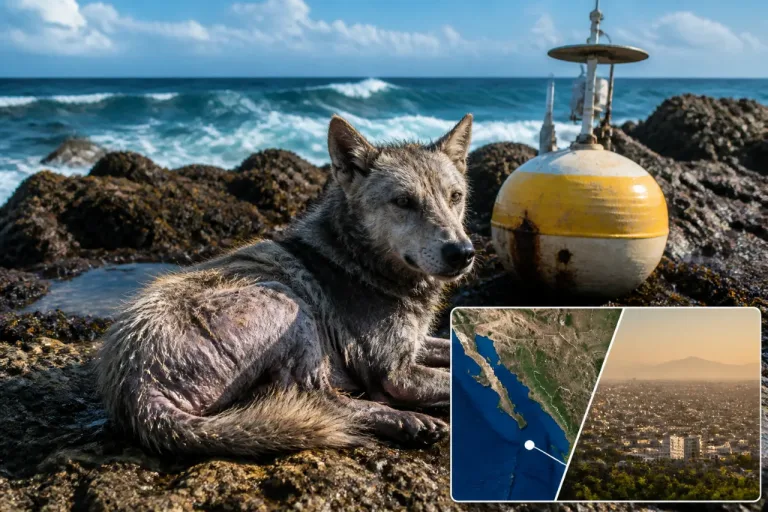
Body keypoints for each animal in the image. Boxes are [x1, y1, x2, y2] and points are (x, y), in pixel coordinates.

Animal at [95, 113, 476, 455]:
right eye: (403, 202)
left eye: (455, 197)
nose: (462, 253)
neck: (357, 258)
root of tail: (135, 388)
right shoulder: (394, 372)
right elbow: (448, 379)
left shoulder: (416, 344)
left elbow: (450, 346)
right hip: (289, 302)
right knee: (318, 399)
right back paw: (407, 422)